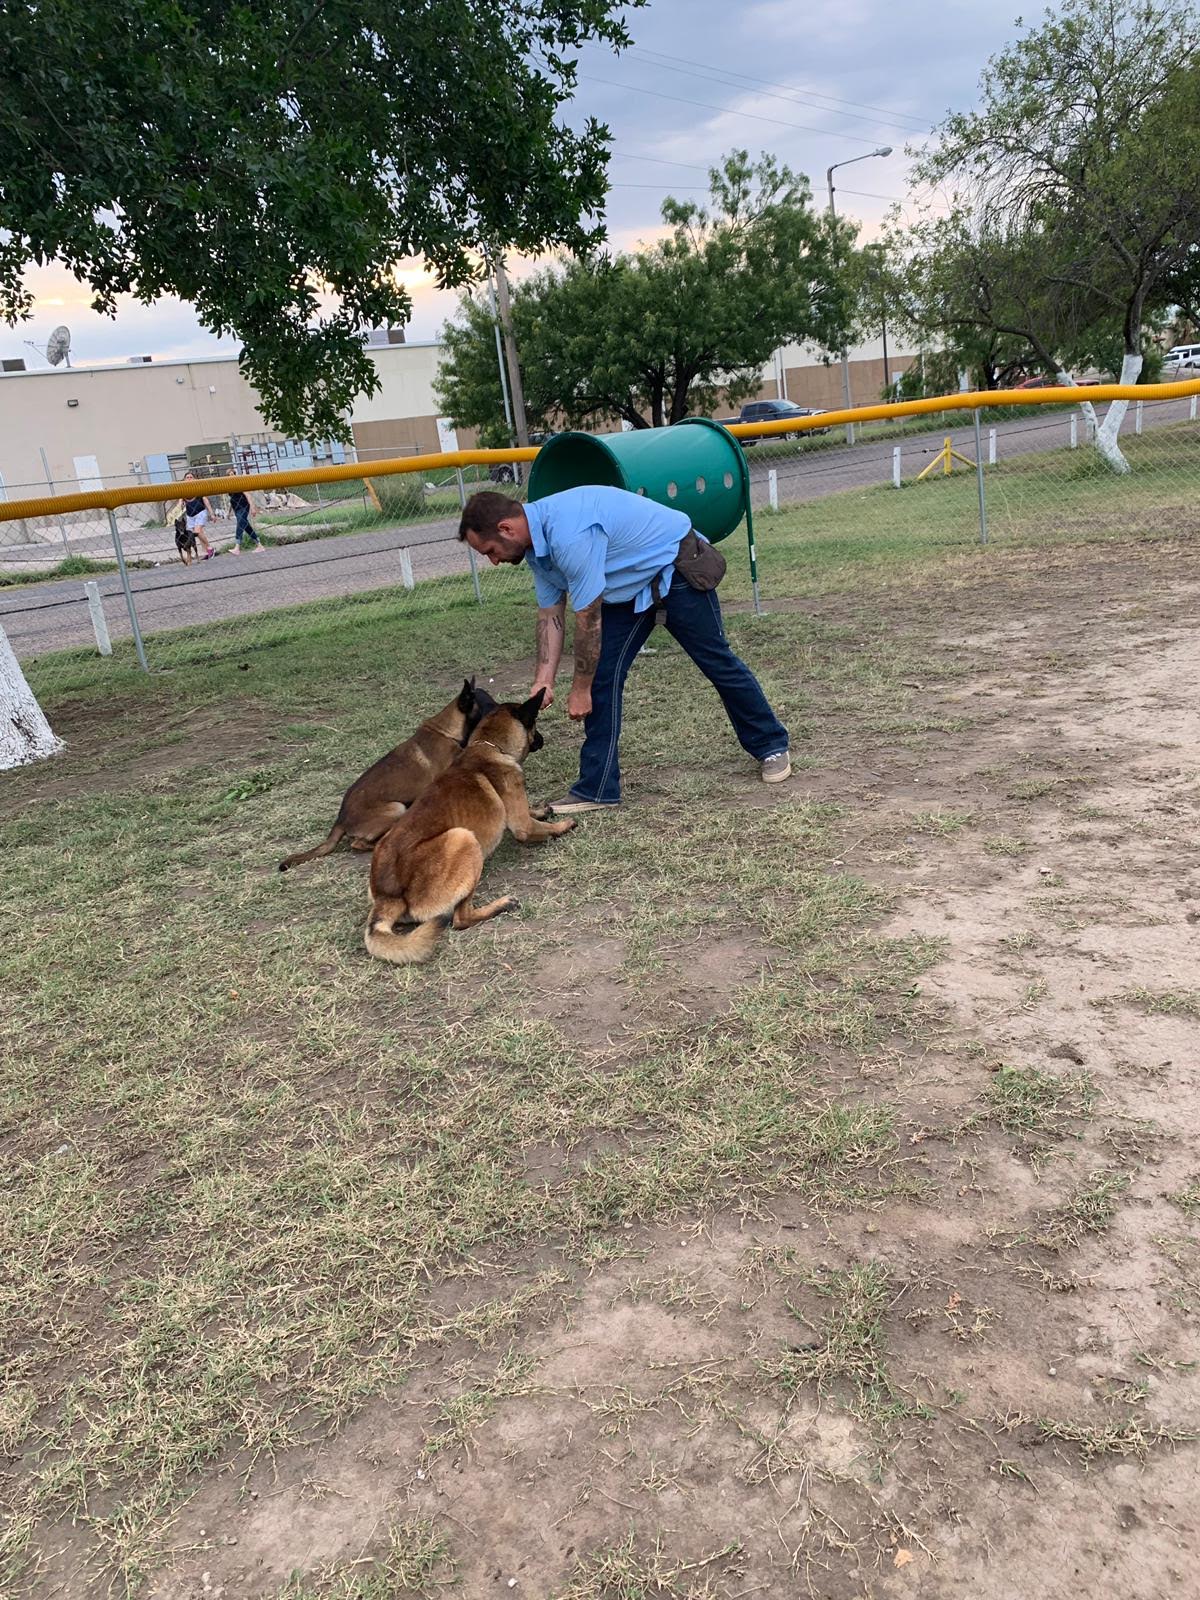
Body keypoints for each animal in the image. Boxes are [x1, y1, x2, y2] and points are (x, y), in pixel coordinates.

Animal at [280, 678, 496, 876]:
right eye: (486, 704)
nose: (501, 706)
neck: (446, 730)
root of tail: (341, 819)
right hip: (396, 808)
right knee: (357, 844)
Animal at [366, 684, 572, 960]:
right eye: (535, 723)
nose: (541, 739)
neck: (490, 747)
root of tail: (387, 897)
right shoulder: (522, 825)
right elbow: (534, 826)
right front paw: (563, 825)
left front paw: (539, 810)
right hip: (463, 838)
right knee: (461, 918)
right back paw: (500, 905)